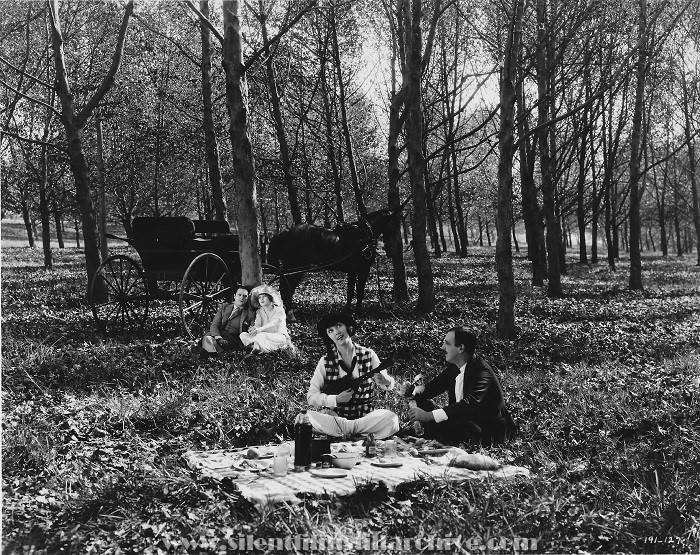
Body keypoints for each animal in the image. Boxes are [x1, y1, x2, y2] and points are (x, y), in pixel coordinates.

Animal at [266, 208, 400, 320]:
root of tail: (286, 232)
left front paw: (348, 311)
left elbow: (350, 292)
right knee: (286, 289)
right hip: (294, 269)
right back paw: (290, 314)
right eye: (394, 224)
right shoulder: (363, 271)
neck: (363, 235)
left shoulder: (352, 272)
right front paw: (357, 312)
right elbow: (359, 292)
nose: (390, 249)